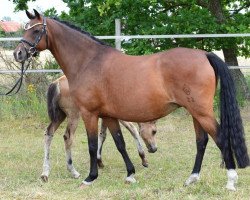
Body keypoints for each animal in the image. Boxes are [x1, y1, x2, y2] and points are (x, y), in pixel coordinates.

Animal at [13, 10, 248, 191]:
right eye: (26, 28)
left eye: (36, 30)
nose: (18, 53)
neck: (89, 61)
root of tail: (204, 55)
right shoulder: (108, 115)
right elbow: (119, 143)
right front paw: (130, 174)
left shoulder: (90, 114)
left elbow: (92, 145)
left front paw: (90, 178)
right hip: (195, 112)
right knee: (202, 141)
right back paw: (192, 179)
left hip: (201, 111)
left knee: (220, 138)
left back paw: (230, 181)